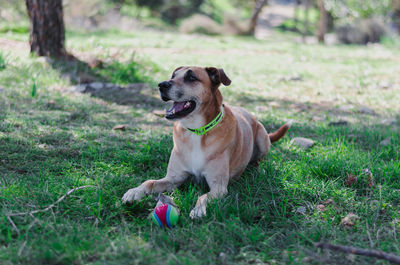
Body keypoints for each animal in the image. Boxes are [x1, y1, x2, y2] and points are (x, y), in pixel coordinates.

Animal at [120, 66, 290, 219]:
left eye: (191, 77)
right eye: (173, 75)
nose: (161, 85)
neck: (196, 132)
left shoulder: (218, 187)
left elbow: (203, 196)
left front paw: (198, 210)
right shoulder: (174, 178)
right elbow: (150, 182)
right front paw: (134, 192)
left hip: (262, 138)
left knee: (260, 159)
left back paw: (258, 169)